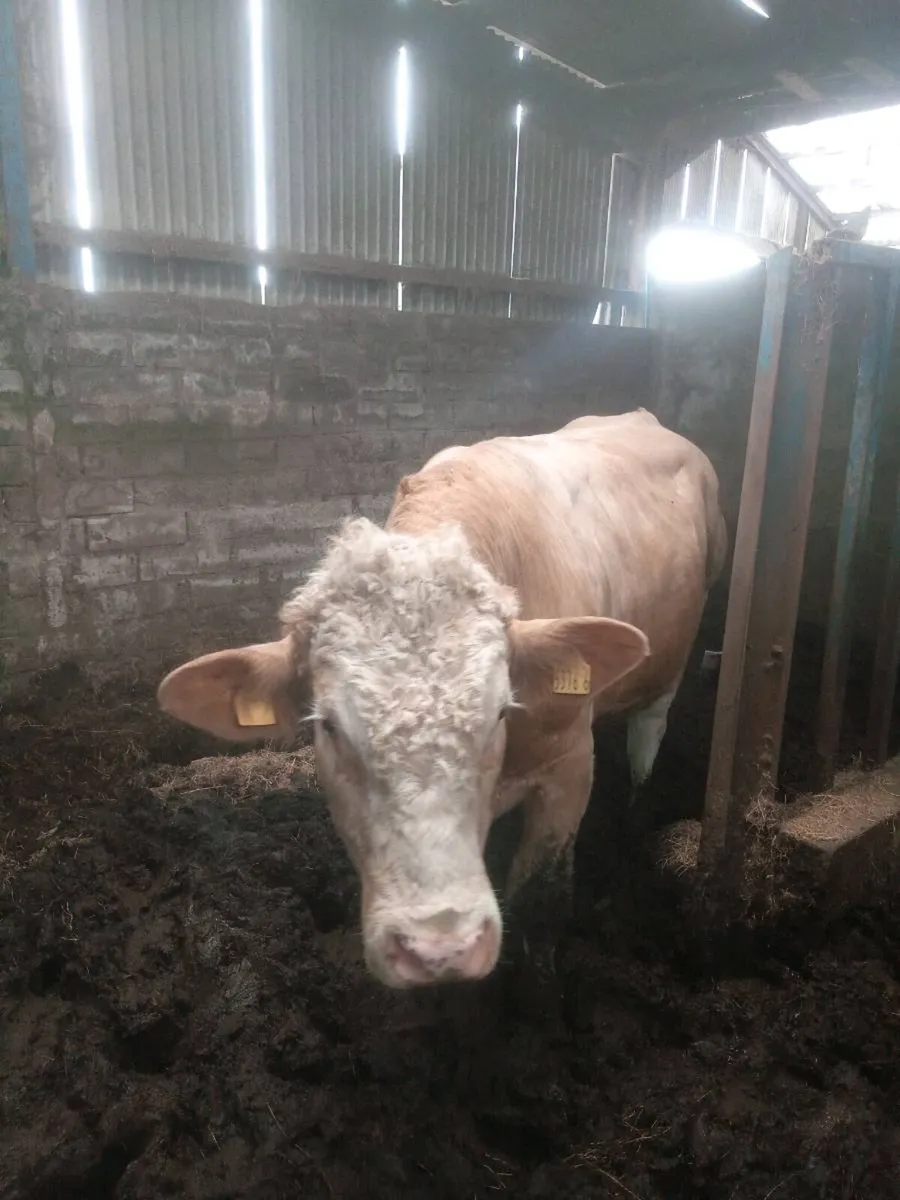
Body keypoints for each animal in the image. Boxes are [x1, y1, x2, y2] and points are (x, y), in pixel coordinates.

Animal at [158, 410, 727, 991]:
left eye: (501, 711)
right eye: (329, 727)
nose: (439, 947)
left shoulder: (569, 763)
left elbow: (539, 900)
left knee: (647, 739)